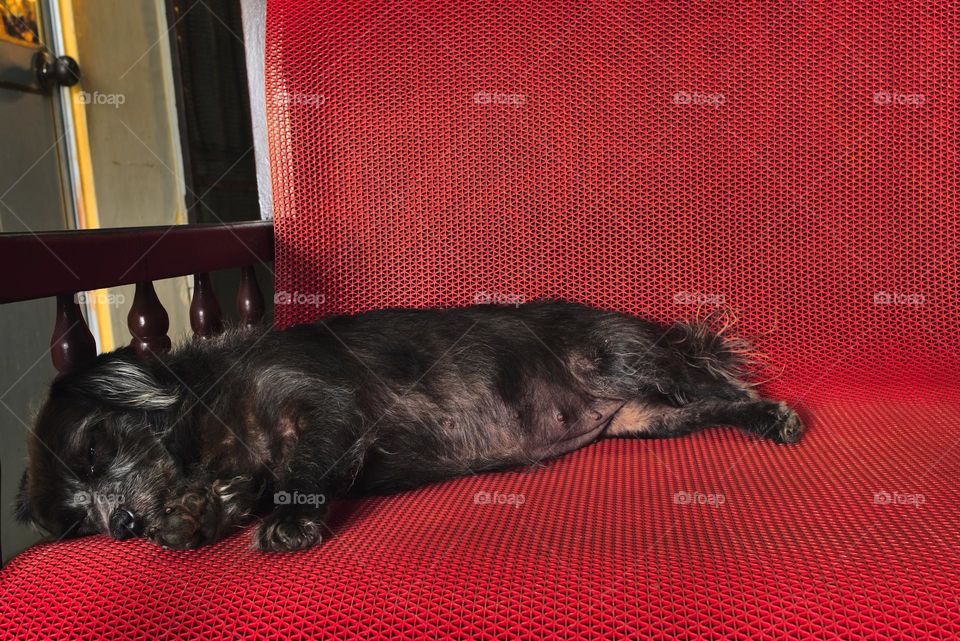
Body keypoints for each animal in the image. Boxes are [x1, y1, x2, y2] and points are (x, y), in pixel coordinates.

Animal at [15, 300, 804, 552]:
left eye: (96, 448)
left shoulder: (325, 408)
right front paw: (197, 515)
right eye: (77, 524)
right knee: (708, 404)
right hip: (644, 419)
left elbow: (300, 472)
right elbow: (232, 490)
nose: (122, 526)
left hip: (622, 361)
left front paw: (285, 521)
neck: (215, 412)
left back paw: (777, 412)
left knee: (720, 382)